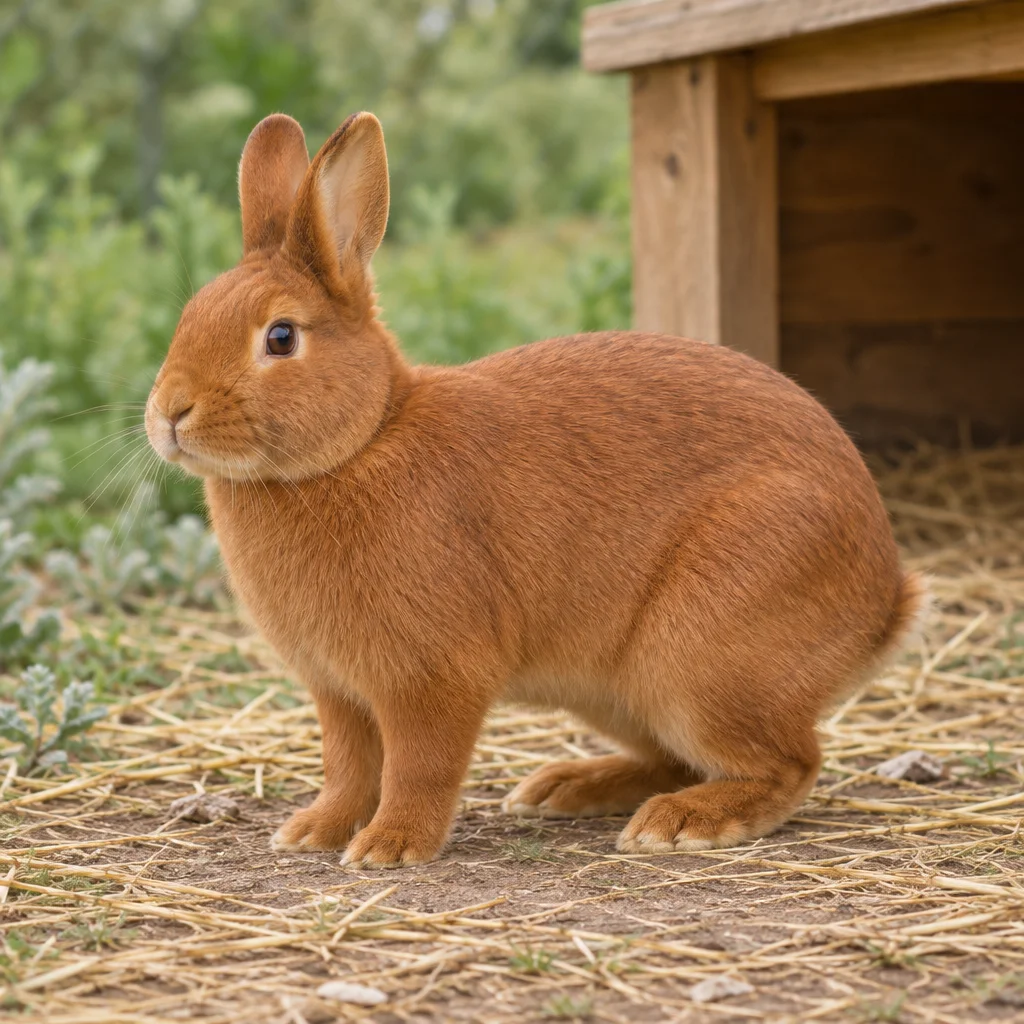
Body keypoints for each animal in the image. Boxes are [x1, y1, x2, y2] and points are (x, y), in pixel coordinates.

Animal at [145, 111, 926, 867]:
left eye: (280, 338)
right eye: (190, 312)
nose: (169, 414)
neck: (364, 439)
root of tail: (885, 601)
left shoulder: (431, 678)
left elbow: (417, 766)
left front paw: (390, 847)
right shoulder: (336, 693)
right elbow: (347, 768)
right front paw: (314, 832)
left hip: (701, 661)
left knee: (789, 763)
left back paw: (681, 825)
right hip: (622, 692)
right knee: (680, 759)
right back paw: (566, 788)